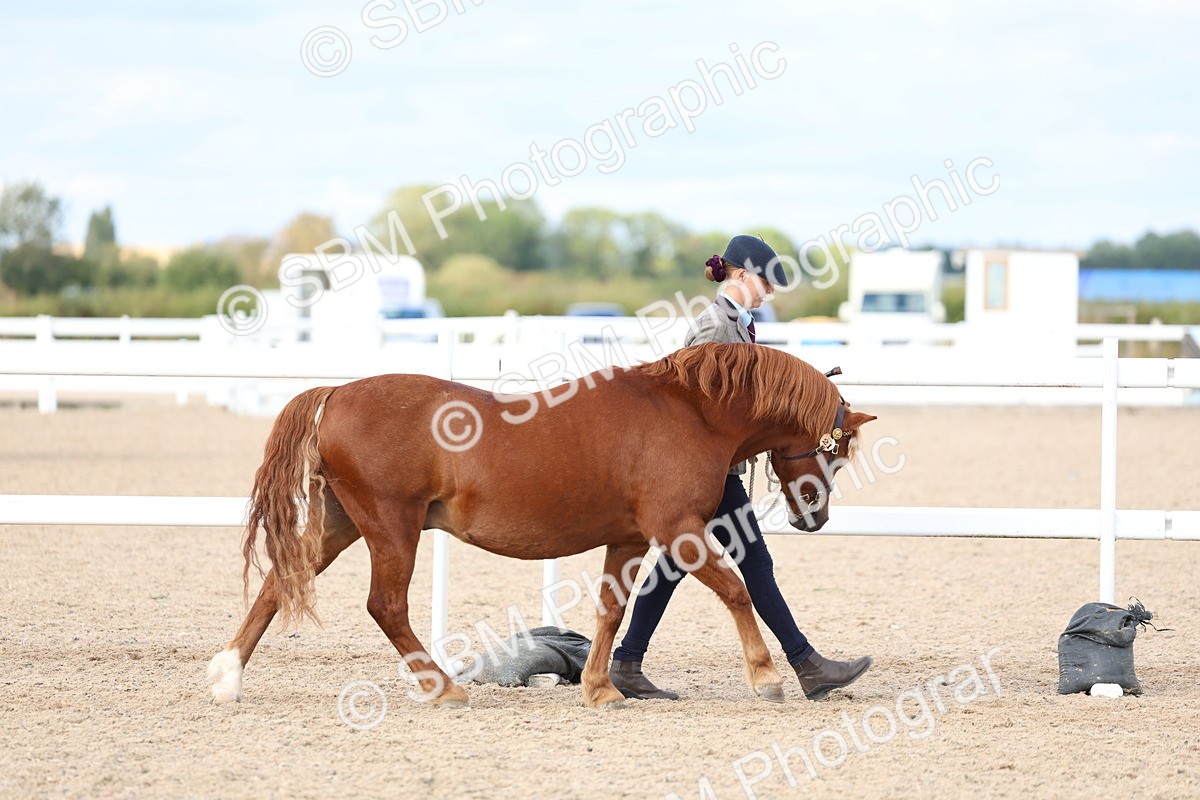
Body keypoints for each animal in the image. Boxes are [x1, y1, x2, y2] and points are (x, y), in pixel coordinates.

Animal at [206, 341, 876, 709]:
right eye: (837, 447)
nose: (814, 514)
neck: (690, 412)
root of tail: (336, 393)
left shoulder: (630, 538)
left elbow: (611, 611)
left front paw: (600, 688)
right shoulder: (678, 530)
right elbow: (738, 590)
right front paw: (766, 678)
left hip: (342, 525)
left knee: (278, 584)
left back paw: (228, 677)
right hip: (391, 527)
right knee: (385, 606)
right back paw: (444, 688)